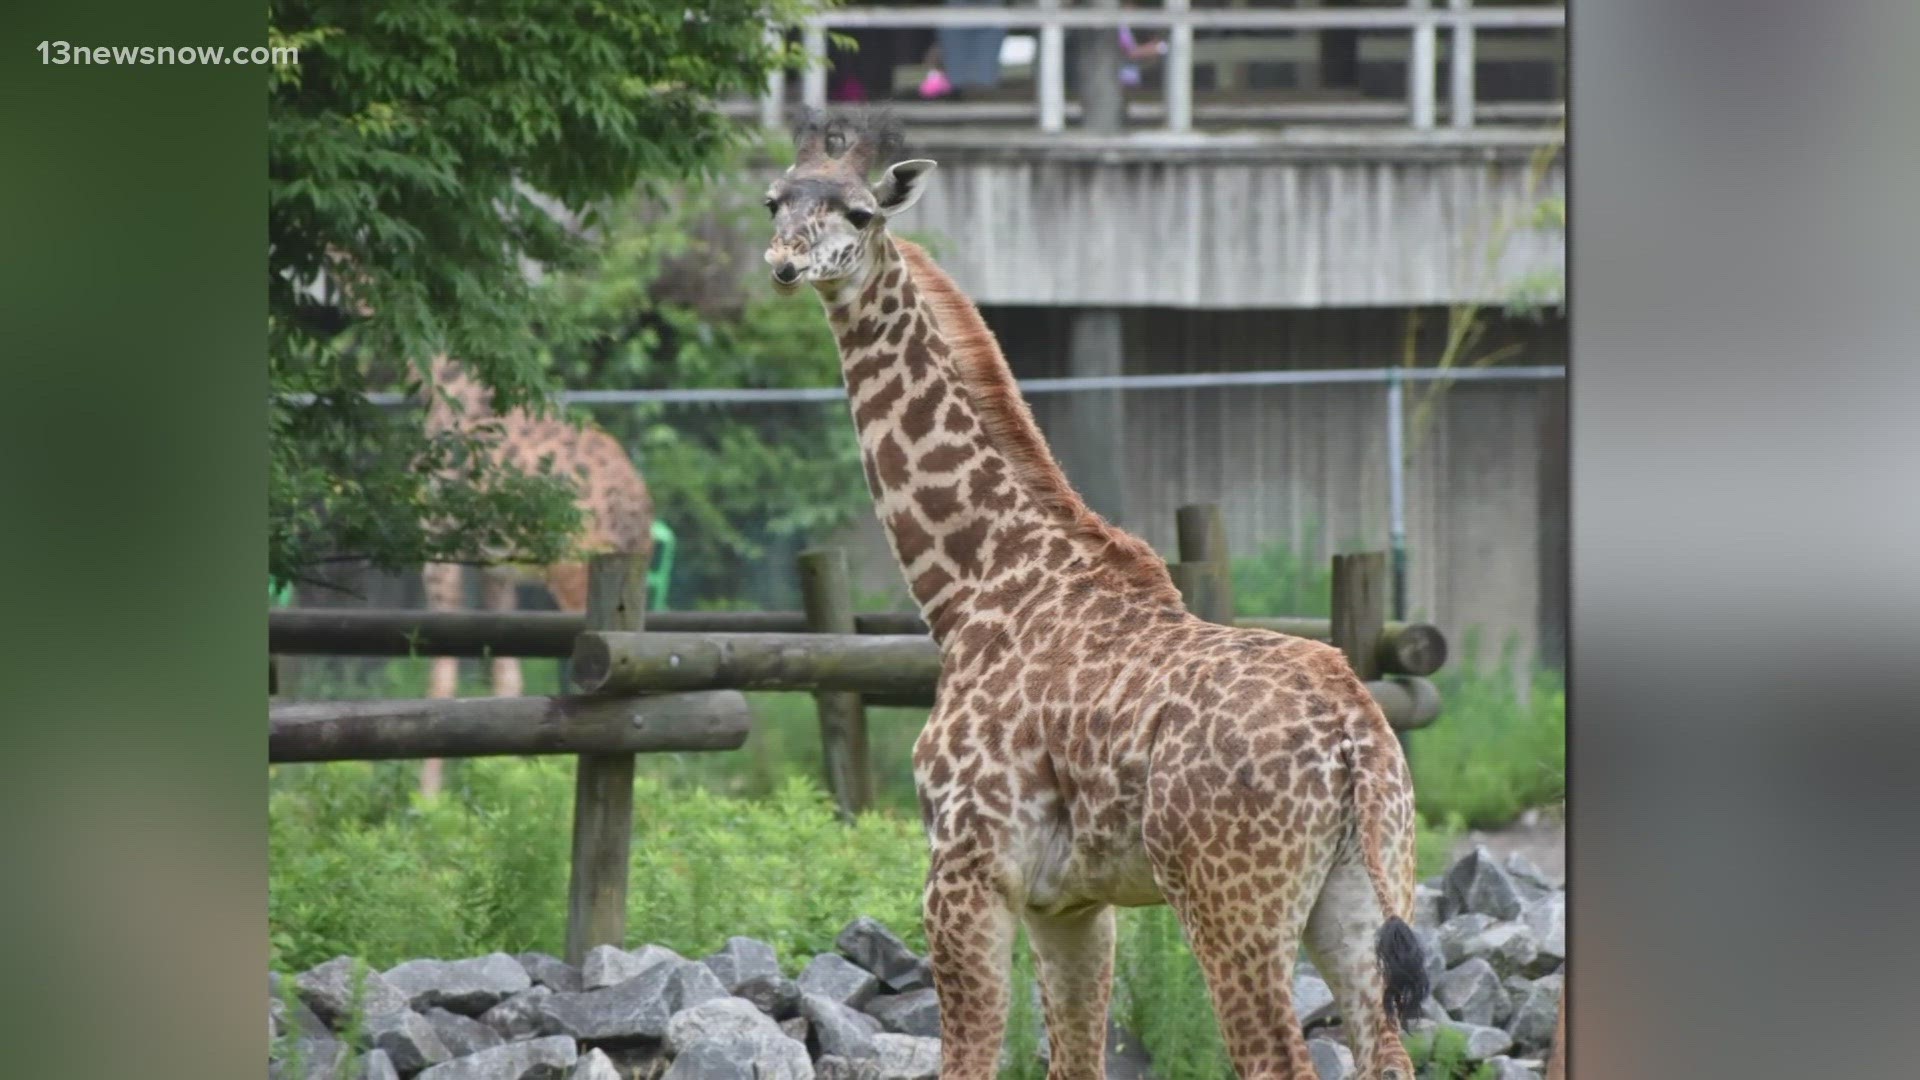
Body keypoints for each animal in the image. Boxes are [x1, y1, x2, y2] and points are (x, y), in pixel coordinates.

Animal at [416, 353, 656, 791]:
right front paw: (505, 778)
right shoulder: (495, 566)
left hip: (573, 574)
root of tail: (634, 512)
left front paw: (427, 798)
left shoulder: (439, 545)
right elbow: (506, 675)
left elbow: (441, 678)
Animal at [764, 111, 1428, 1076]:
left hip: (1233, 904)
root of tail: (1354, 736)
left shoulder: (966, 869)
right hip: (1365, 886)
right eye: (774, 199)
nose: (784, 261)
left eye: (858, 211)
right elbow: (1074, 1056)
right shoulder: (1071, 902)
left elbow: (969, 1058)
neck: (974, 587)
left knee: (1278, 1055)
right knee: (1386, 1049)